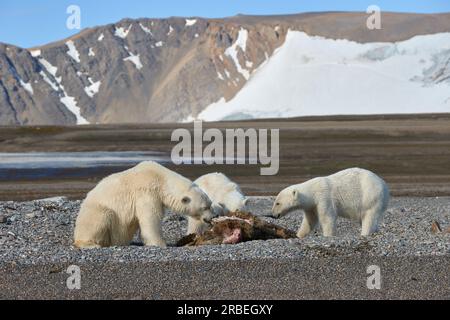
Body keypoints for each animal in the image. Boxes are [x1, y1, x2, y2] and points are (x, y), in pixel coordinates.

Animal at [74, 161, 214, 249]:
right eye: (205, 207)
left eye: (210, 203)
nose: (212, 217)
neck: (161, 179)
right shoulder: (147, 192)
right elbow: (151, 218)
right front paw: (160, 244)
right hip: (95, 210)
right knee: (100, 217)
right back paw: (90, 244)